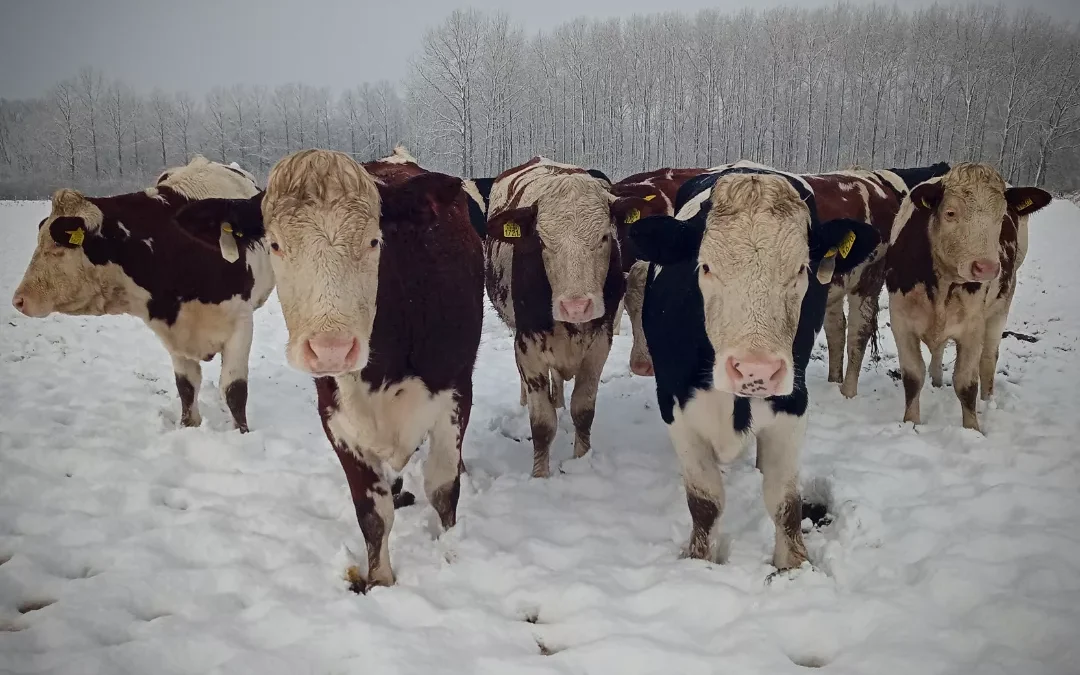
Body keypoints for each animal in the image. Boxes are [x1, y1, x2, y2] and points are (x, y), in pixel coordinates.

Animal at [11, 156, 272, 432]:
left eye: (56, 247)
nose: (19, 300)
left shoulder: (240, 325)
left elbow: (234, 390)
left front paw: (242, 432)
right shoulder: (173, 331)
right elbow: (187, 386)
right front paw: (188, 426)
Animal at [174, 146, 483, 587]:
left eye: (374, 240)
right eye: (275, 244)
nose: (331, 348)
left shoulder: (454, 393)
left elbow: (443, 489)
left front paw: (449, 553)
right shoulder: (335, 416)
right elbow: (372, 513)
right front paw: (380, 581)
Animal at [473, 156, 626, 479]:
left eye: (605, 237)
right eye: (542, 242)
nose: (576, 306)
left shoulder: (599, 344)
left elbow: (584, 411)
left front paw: (581, 461)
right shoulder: (528, 348)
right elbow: (542, 424)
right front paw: (540, 476)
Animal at [630, 167, 881, 570]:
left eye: (802, 269)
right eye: (705, 266)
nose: (754, 370)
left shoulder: (794, 402)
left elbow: (785, 502)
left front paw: (793, 565)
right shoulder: (674, 404)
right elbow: (704, 502)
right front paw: (700, 561)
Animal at [881, 160, 1049, 429]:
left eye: (1001, 216)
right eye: (950, 213)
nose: (987, 267)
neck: (942, 283)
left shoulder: (973, 326)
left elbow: (966, 383)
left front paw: (973, 429)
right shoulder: (901, 320)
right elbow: (913, 376)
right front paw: (911, 423)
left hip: (1001, 305)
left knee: (988, 358)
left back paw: (988, 402)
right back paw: (937, 380)